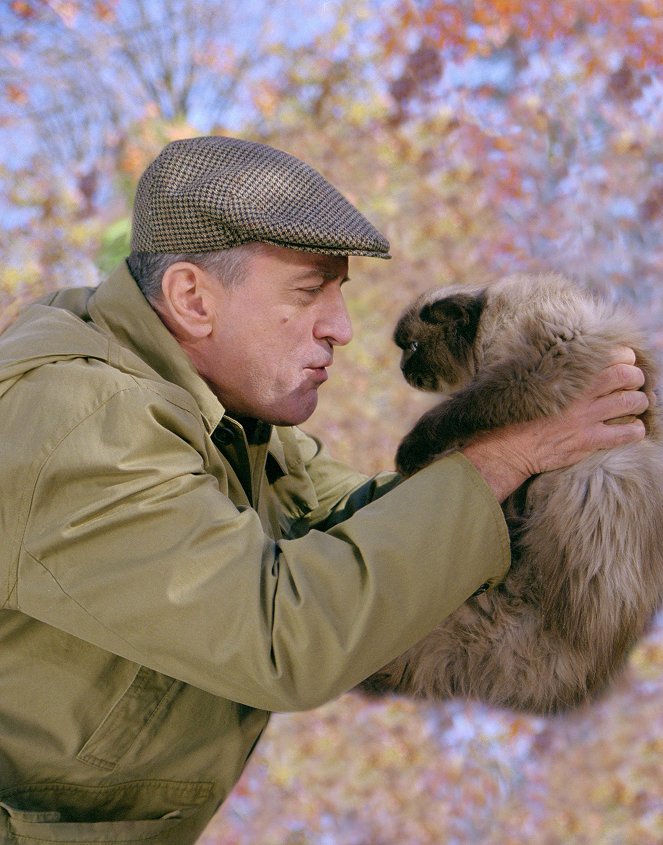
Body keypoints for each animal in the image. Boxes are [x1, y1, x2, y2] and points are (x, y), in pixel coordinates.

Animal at [360, 274, 663, 716]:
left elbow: (457, 411)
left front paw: (410, 452)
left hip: (599, 475)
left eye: (412, 348)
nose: (402, 370)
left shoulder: (527, 371)